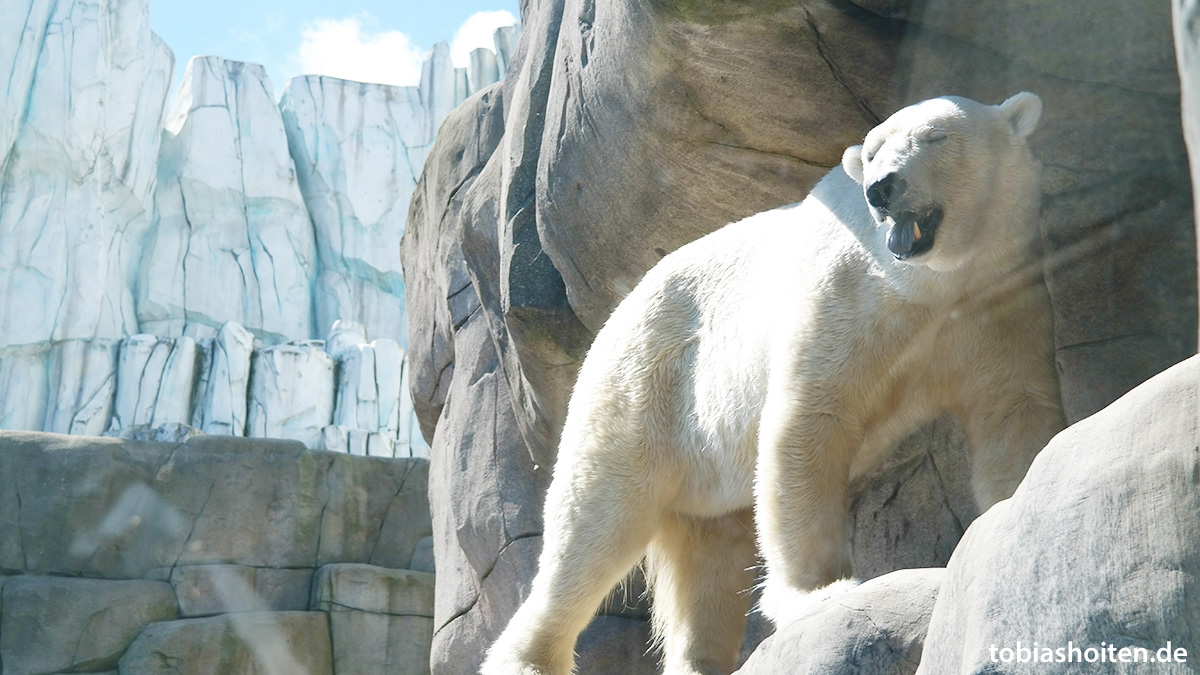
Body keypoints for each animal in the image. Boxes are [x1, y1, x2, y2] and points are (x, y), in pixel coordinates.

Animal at [482, 93, 1065, 672]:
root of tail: (614, 316)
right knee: (594, 523)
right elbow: (807, 425)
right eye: (872, 152)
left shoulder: (996, 297)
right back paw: (529, 658)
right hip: (642, 386)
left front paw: (1015, 502)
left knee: (708, 557)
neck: (926, 287)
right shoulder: (842, 297)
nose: (882, 188)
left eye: (937, 136)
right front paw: (822, 593)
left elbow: (1011, 406)